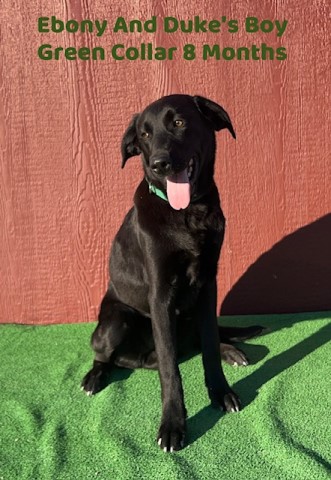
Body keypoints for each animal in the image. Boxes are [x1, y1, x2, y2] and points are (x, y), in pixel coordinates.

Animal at [81, 95, 264, 452]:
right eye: (144, 135)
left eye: (178, 123)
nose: (159, 164)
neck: (189, 213)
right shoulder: (160, 295)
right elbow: (170, 371)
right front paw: (173, 424)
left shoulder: (208, 286)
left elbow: (209, 345)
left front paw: (221, 392)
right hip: (115, 321)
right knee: (112, 355)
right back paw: (95, 376)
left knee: (193, 342)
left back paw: (231, 351)